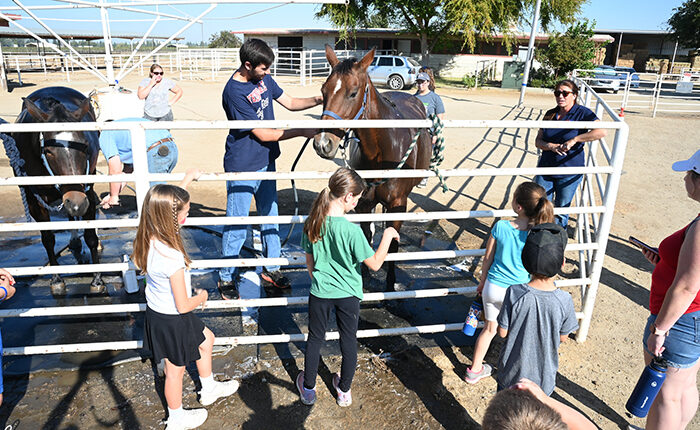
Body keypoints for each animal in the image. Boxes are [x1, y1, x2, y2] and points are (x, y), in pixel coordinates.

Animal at [314, 45, 432, 290]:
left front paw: (390, 284)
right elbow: (365, 235)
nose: (323, 143)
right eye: (323, 90)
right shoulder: (363, 204)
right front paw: (365, 274)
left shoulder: (398, 204)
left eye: (353, 92)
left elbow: (393, 243)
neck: (382, 152)